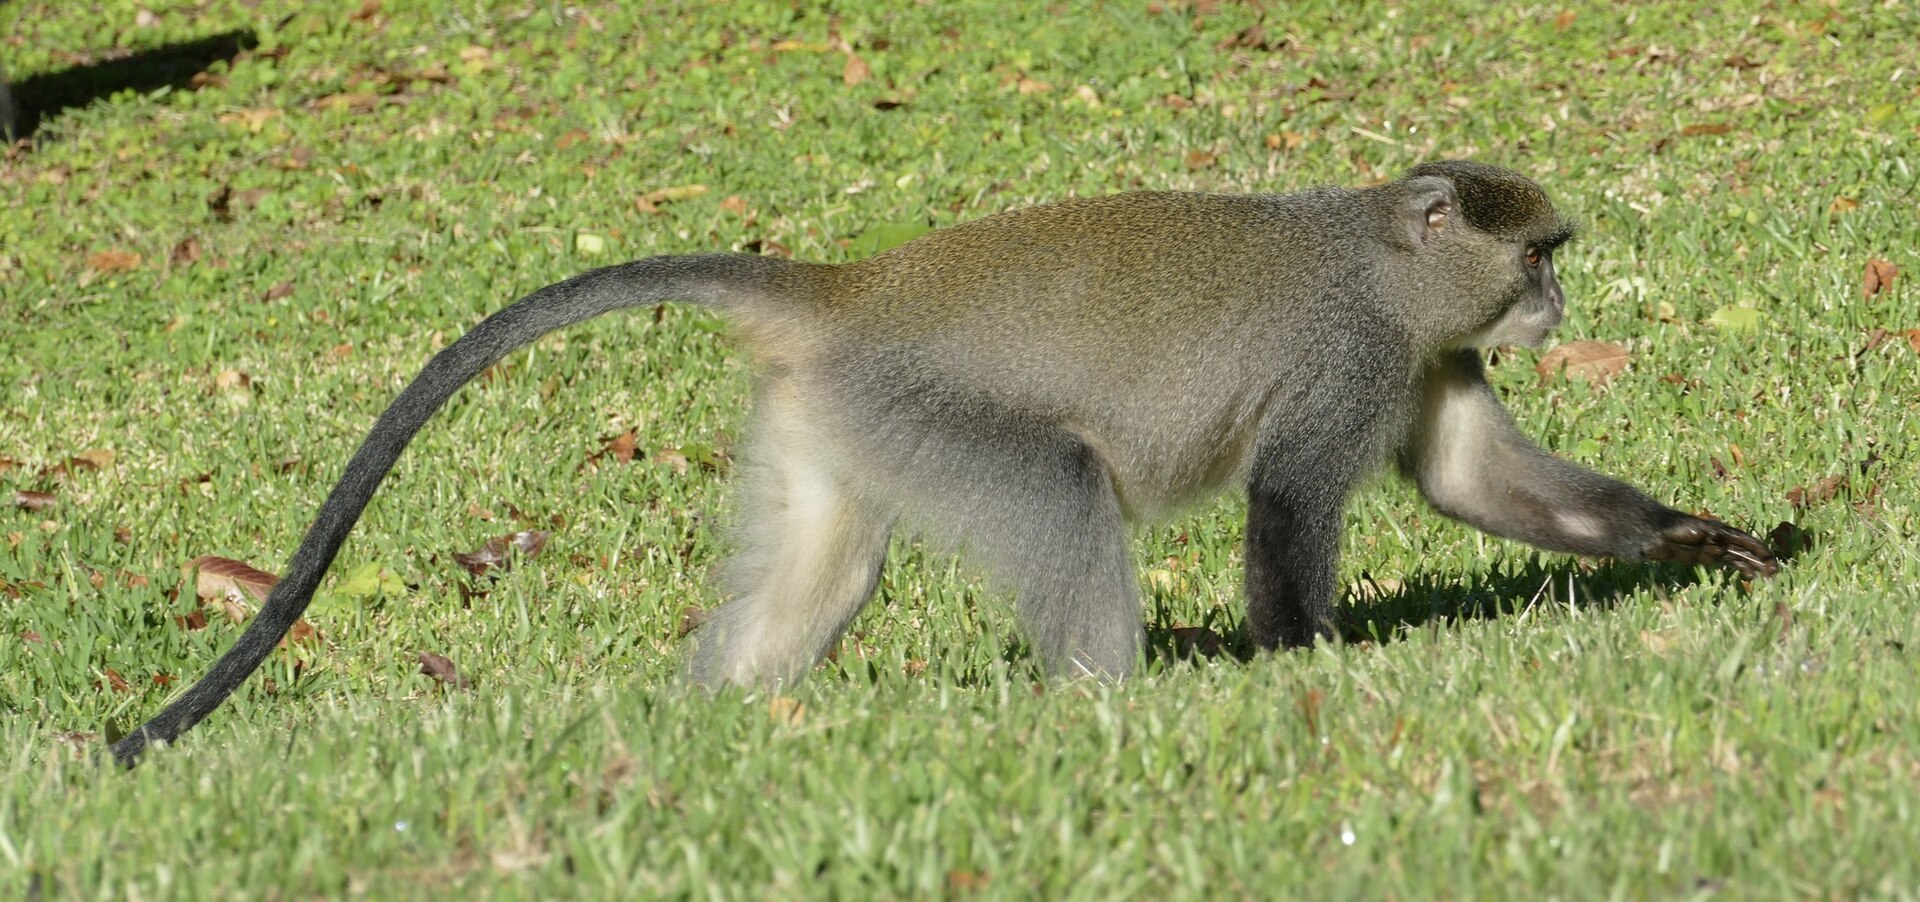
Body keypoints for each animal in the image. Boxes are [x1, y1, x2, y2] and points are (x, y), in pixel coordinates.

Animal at [106, 161, 1778, 766]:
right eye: (1538, 252)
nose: (1559, 301)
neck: (1372, 255)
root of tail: (853, 292)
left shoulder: (1431, 356)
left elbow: (1474, 484)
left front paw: (1693, 538)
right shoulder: (1352, 357)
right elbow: (1292, 503)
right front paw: (1309, 665)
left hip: (837, 421)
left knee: (820, 567)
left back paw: (723, 723)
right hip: (930, 411)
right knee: (1063, 497)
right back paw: (1105, 703)